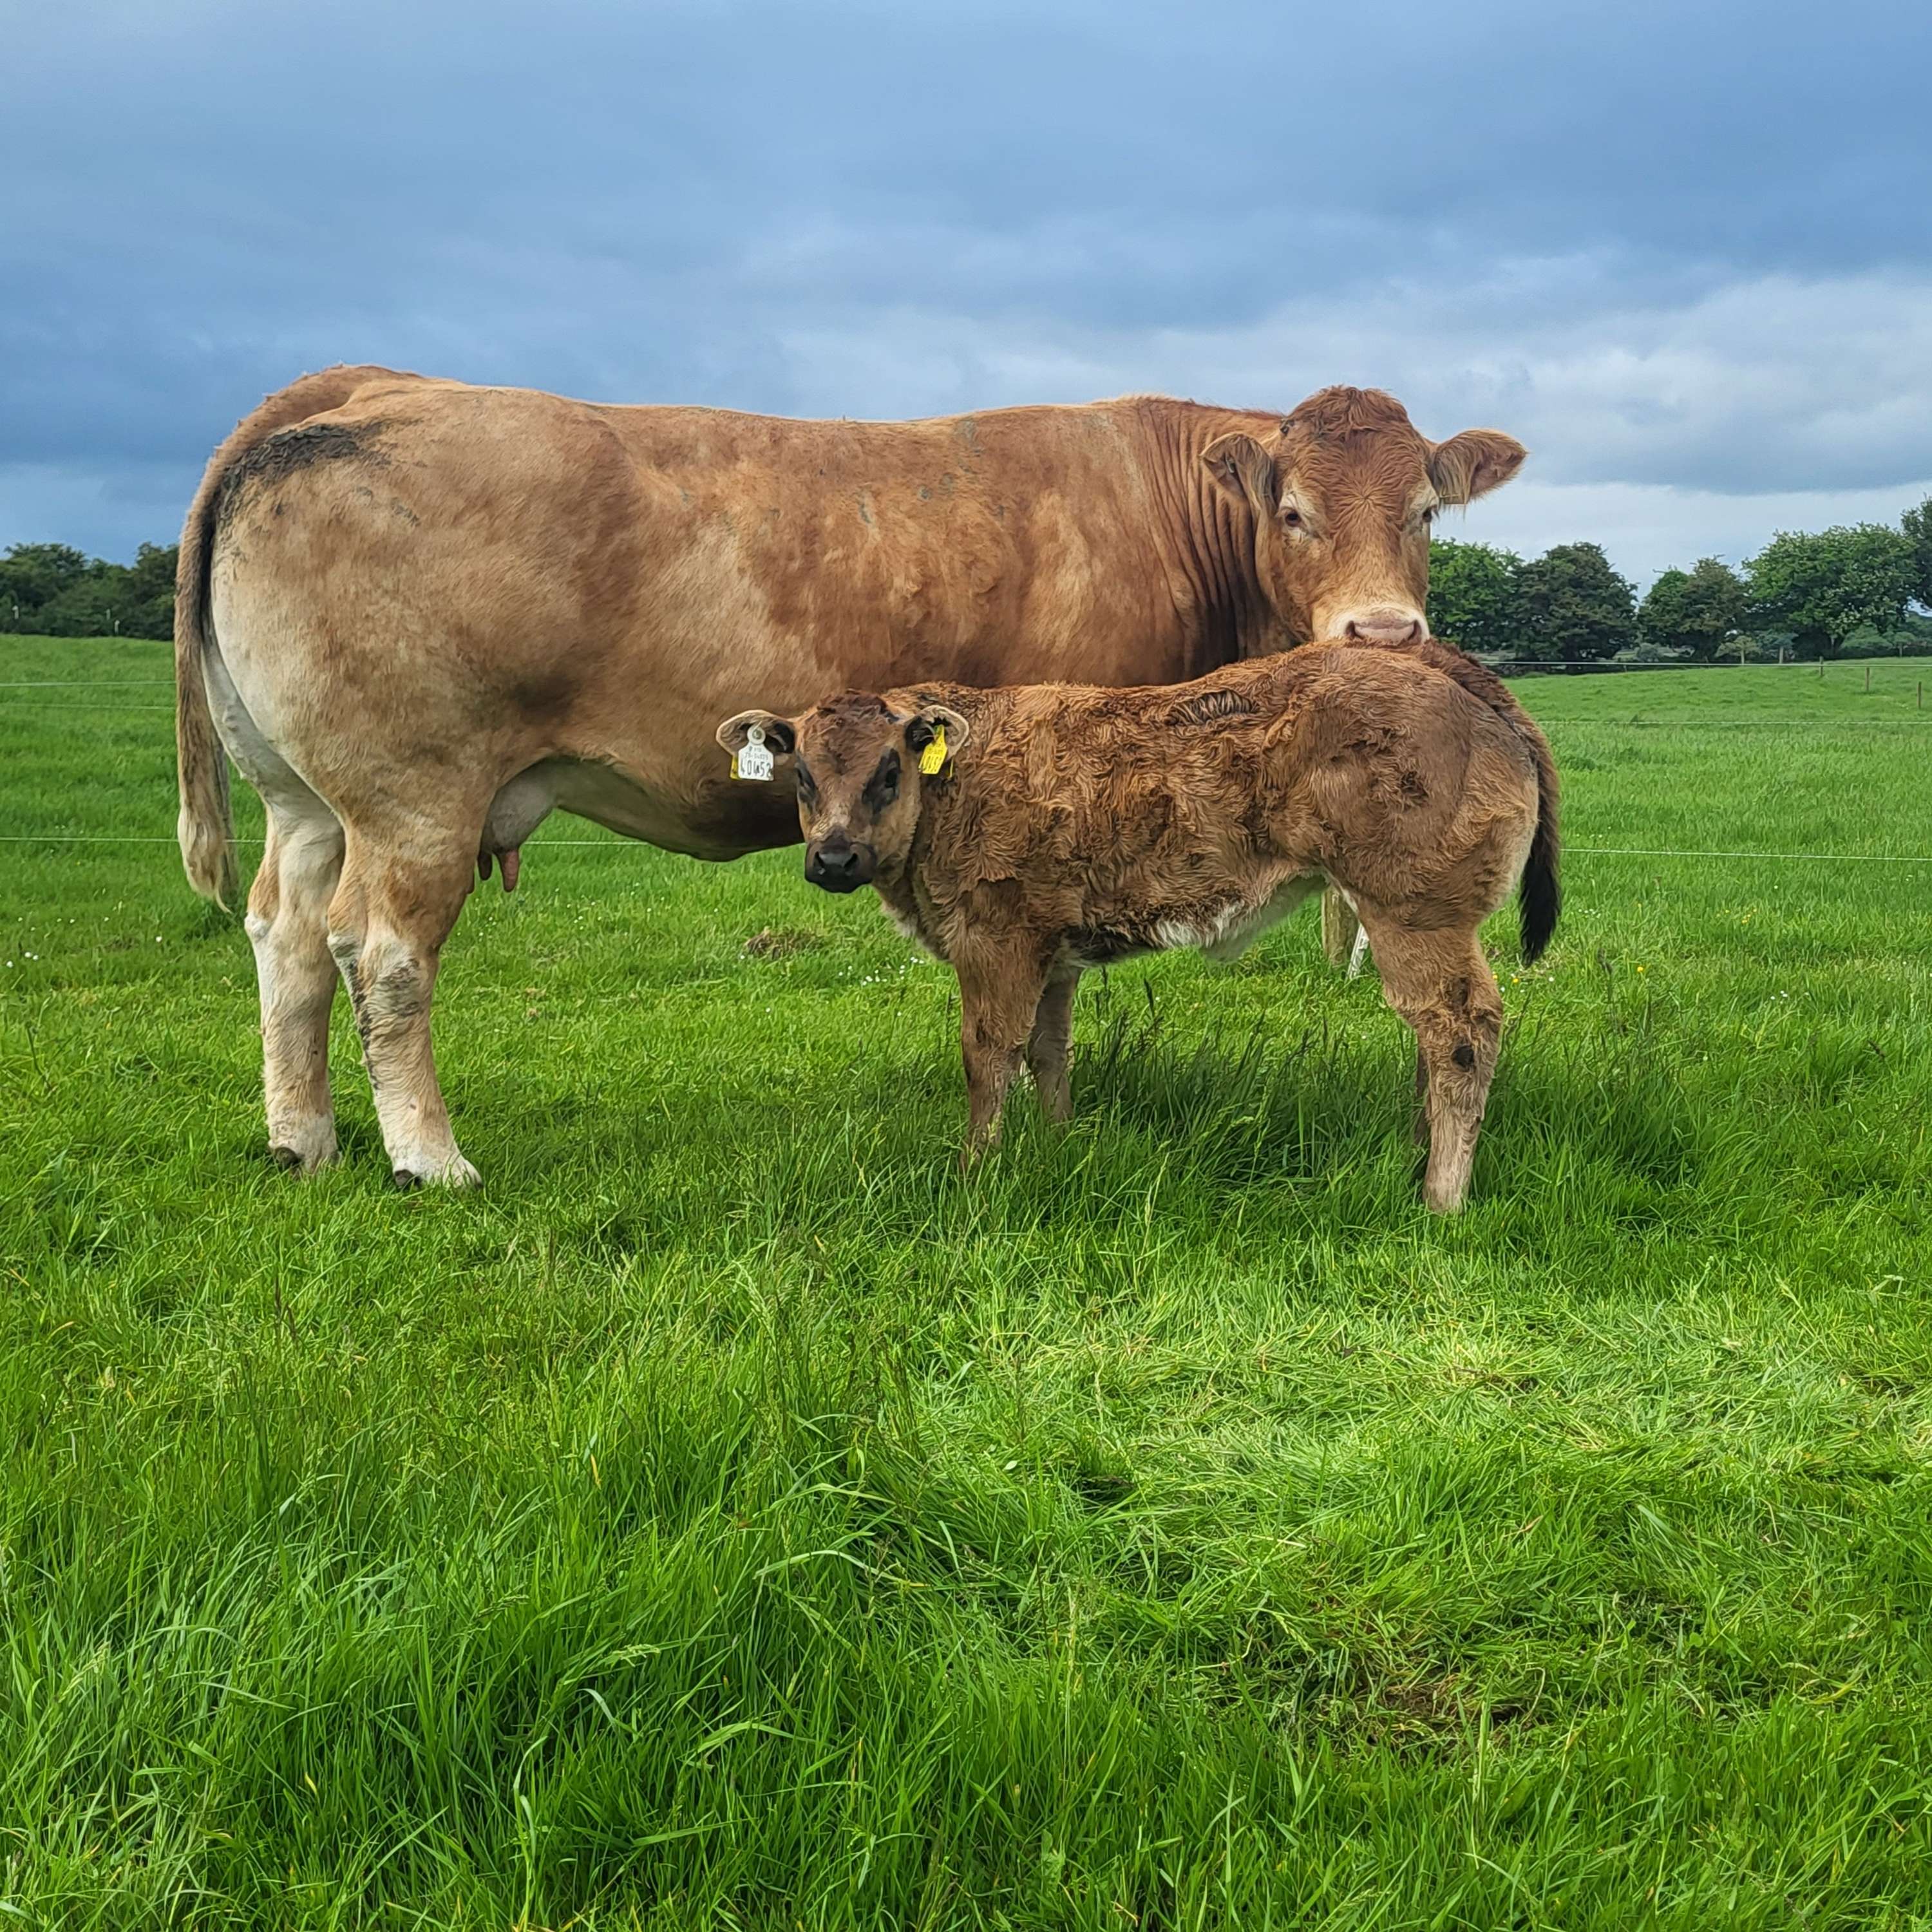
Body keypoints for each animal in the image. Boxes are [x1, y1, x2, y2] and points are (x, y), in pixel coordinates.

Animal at [719, 638, 1561, 1206]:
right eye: (801, 775)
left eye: (889, 773)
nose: (834, 859)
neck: (959, 776)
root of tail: (1437, 664)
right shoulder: (1053, 951)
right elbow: (1048, 1050)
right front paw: (1057, 1142)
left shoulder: (995, 940)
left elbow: (988, 1054)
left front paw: (975, 1170)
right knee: (1430, 1035)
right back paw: (1413, 1154)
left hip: (1413, 913)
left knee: (1459, 1031)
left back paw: (1441, 1195)